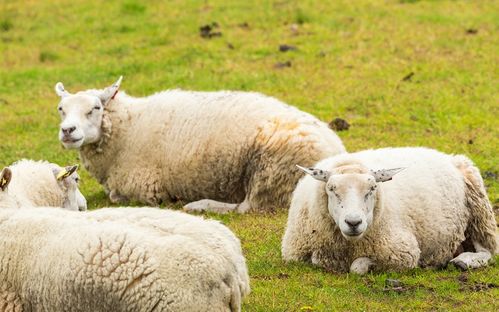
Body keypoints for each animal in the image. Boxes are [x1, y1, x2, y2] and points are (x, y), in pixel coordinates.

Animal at [52, 77, 346, 213]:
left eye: (96, 108)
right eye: (61, 109)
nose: (67, 131)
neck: (128, 128)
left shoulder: (144, 188)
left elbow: (117, 197)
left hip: (271, 171)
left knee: (246, 207)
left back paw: (199, 205)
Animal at [284, 147, 498, 274]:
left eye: (372, 188)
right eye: (331, 189)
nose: (353, 222)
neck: (350, 245)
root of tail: (449, 157)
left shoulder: (403, 253)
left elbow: (357, 267)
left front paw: (367, 265)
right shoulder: (294, 253)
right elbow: (316, 259)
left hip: (480, 214)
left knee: (487, 251)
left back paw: (464, 261)